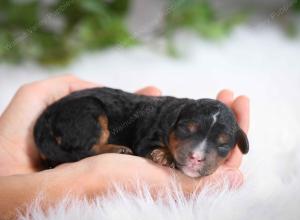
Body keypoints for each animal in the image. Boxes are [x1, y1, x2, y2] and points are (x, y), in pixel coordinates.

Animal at [34, 87, 248, 178]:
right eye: (186, 129)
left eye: (223, 145)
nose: (196, 158)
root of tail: (46, 116)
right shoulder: (145, 137)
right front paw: (164, 155)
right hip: (90, 112)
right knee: (84, 150)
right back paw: (117, 149)